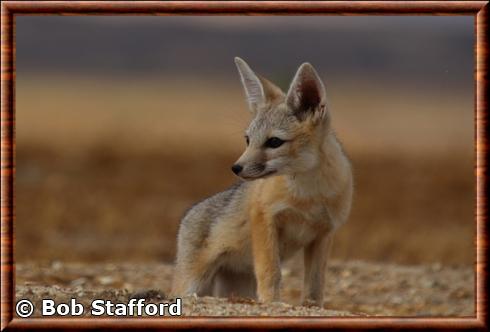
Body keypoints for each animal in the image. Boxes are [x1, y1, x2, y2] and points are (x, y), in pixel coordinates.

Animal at [172, 56, 352, 306]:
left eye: (274, 142)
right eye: (247, 140)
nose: (236, 168)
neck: (308, 194)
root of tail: (189, 213)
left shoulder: (324, 233)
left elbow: (316, 283)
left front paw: (312, 307)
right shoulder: (264, 218)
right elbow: (270, 271)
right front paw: (272, 302)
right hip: (192, 284)